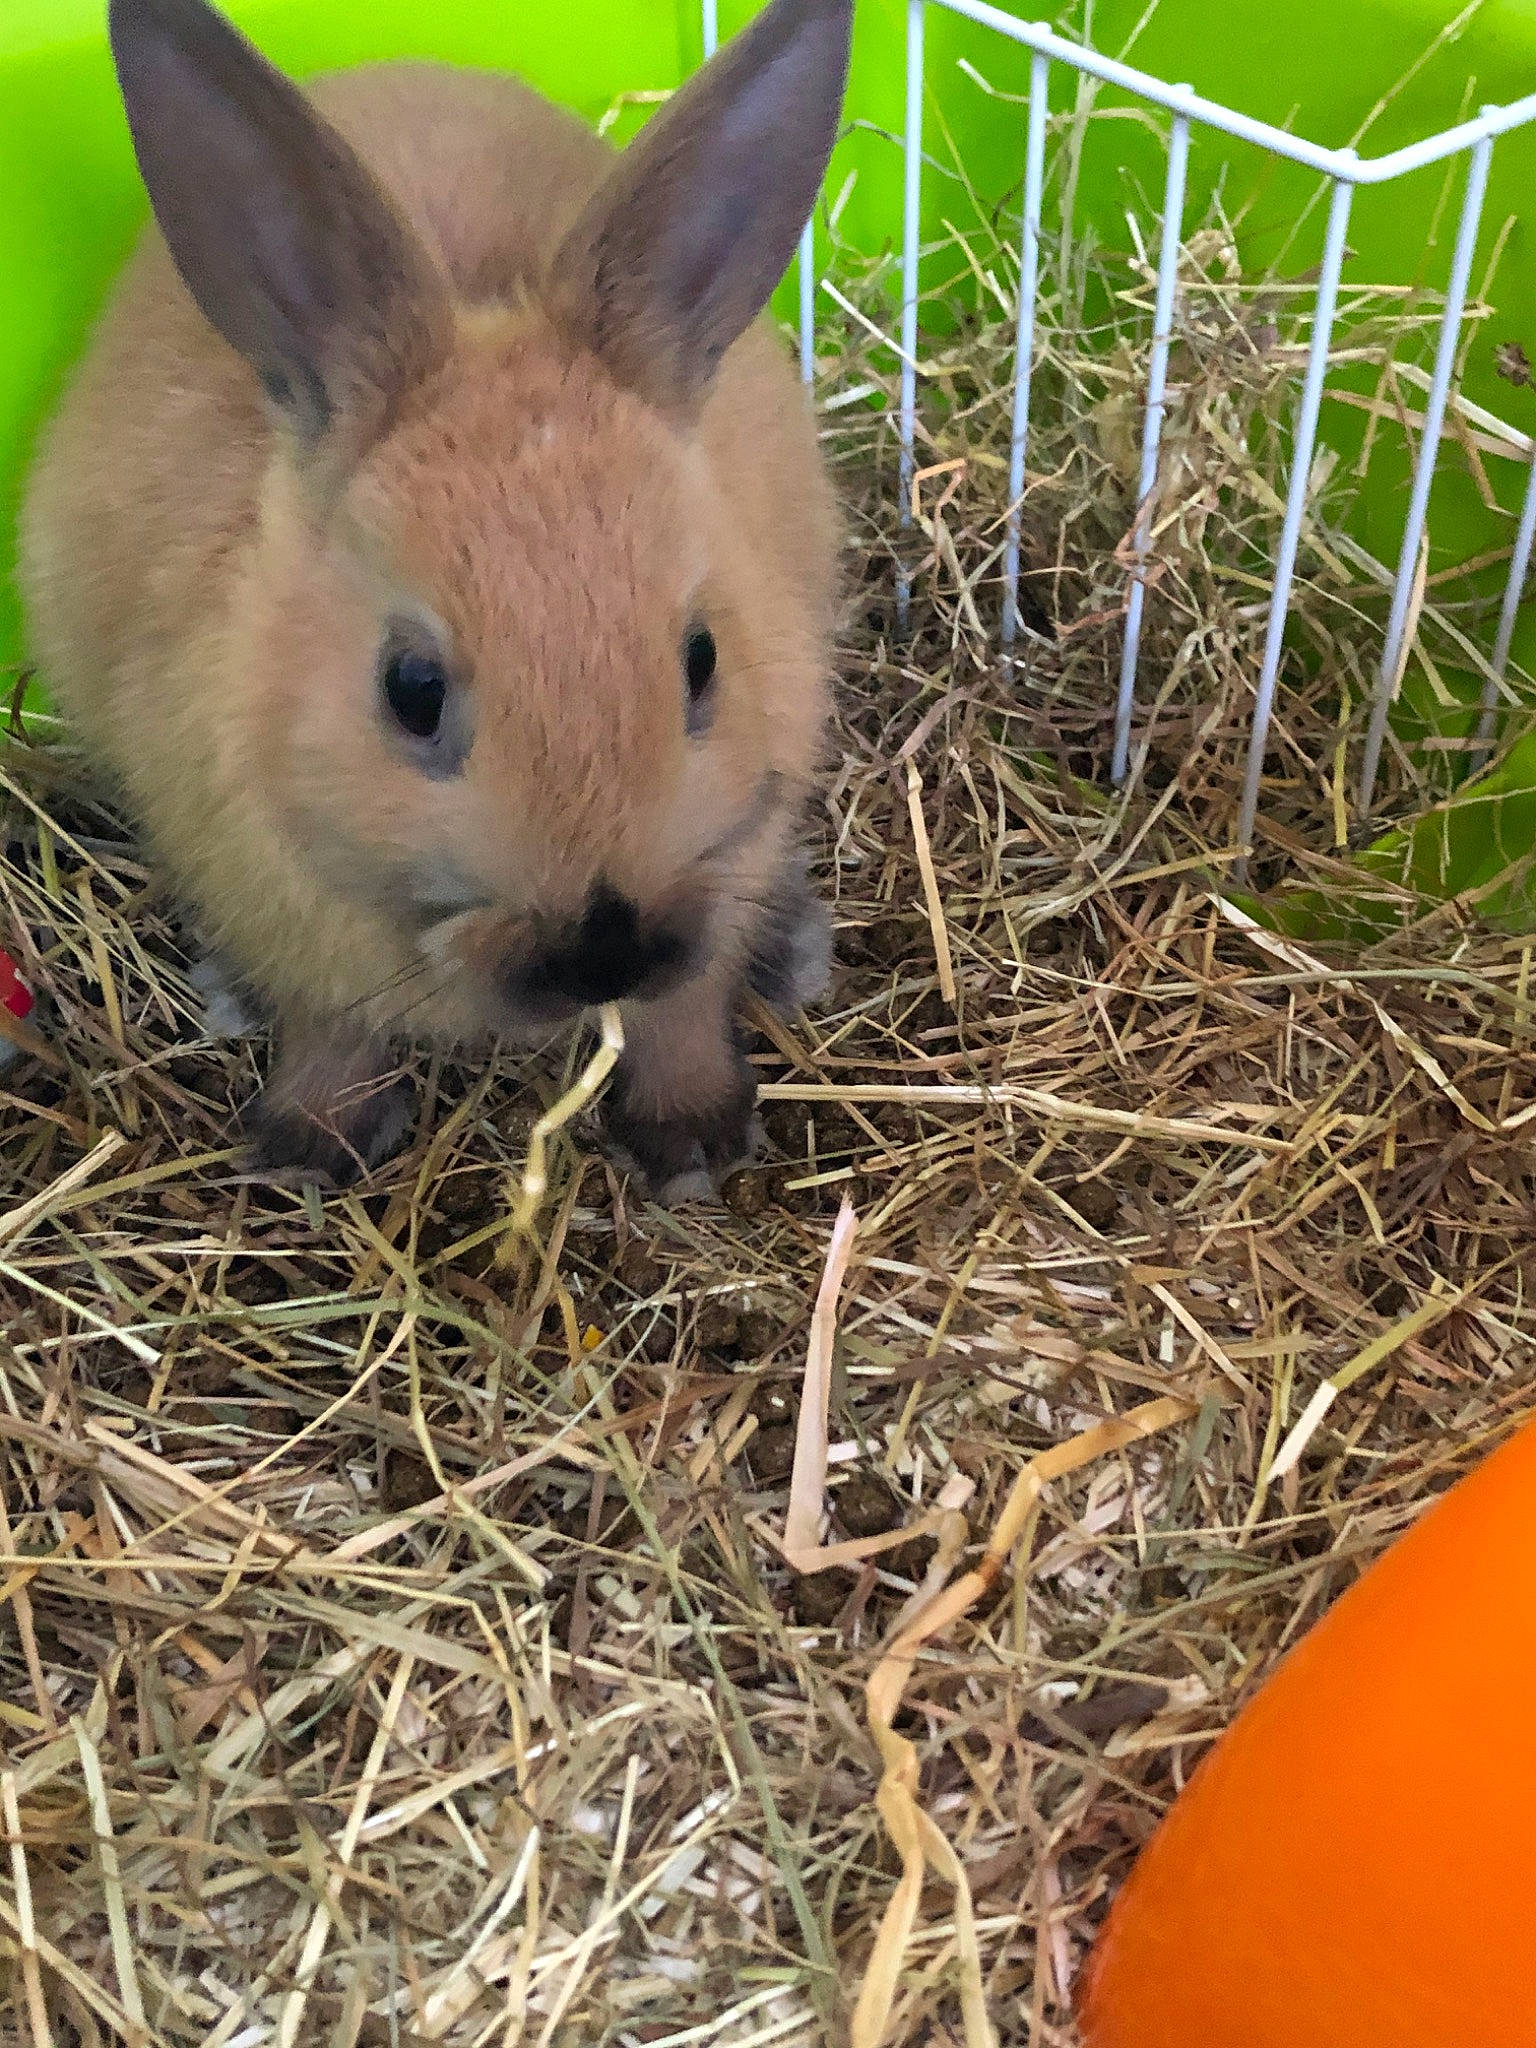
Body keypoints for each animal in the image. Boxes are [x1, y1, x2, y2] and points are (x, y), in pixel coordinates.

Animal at [20, 0, 850, 1201]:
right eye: (409, 690)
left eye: (702, 660)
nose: (603, 953)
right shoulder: (283, 911)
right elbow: (333, 1029)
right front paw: (310, 1148)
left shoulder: (722, 866)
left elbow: (681, 1010)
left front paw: (693, 1141)